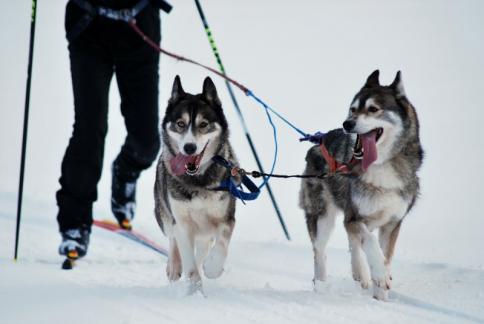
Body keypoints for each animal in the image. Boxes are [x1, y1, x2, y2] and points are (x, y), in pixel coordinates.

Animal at [155, 76, 238, 294]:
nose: (189, 147)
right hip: (163, 212)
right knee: (172, 238)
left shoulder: (226, 218)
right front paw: (194, 289)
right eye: (180, 123)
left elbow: (221, 244)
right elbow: (190, 265)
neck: (198, 180)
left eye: (203, 124)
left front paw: (213, 267)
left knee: (202, 248)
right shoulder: (182, 223)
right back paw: (174, 266)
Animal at [298, 69, 424, 300]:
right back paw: (322, 286)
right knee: (320, 250)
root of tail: (318, 142)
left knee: (353, 240)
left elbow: (385, 255)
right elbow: (371, 244)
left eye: (373, 109)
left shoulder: (392, 223)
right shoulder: (355, 216)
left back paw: (361, 273)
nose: (347, 124)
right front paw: (379, 274)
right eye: (353, 109)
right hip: (322, 216)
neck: (381, 165)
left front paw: (380, 296)